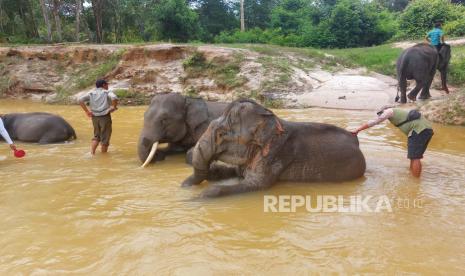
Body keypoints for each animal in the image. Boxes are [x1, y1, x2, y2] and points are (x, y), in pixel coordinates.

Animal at [181, 98, 366, 197]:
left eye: (221, 134)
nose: (183, 185)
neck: (269, 116)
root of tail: (354, 137)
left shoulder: (275, 154)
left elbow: (257, 185)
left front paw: (197, 197)